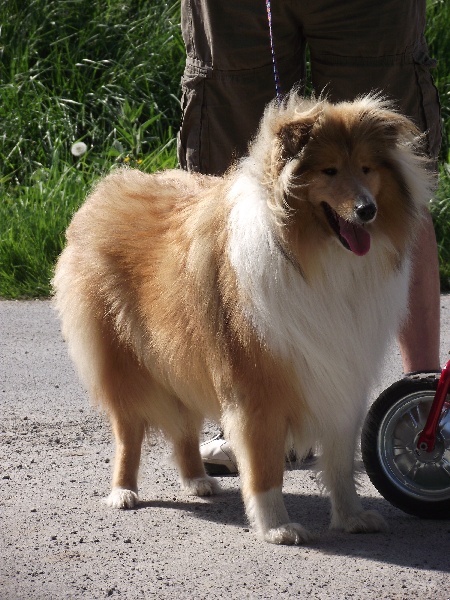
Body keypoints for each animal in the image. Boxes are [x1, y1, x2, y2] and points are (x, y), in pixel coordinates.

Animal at [53, 93, 433, 544]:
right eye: (329, 170)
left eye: (366, 168)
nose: (366, 211)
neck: (312, 255)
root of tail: (106, 189)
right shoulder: (256, 387)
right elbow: (265, 469)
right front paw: (277, 527)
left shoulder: (341, 376)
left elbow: (340, 463)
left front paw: (352, 517)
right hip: (125, 365)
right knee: (129, 433)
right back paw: (123, 492)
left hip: (179, 357)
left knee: (184, 427)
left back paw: (198, 481)